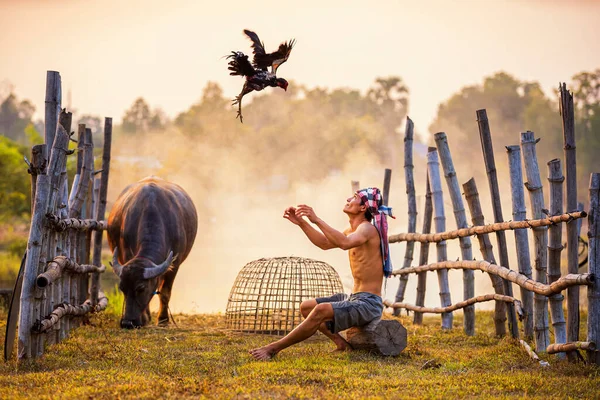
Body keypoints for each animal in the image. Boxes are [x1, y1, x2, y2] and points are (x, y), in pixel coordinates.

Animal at [106, 177, 198, 328]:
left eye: (141, 288)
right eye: (122, 288)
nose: (127, 323)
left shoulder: (175, 264)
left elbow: (165, 292)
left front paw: (163, 319)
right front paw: (145, 318)